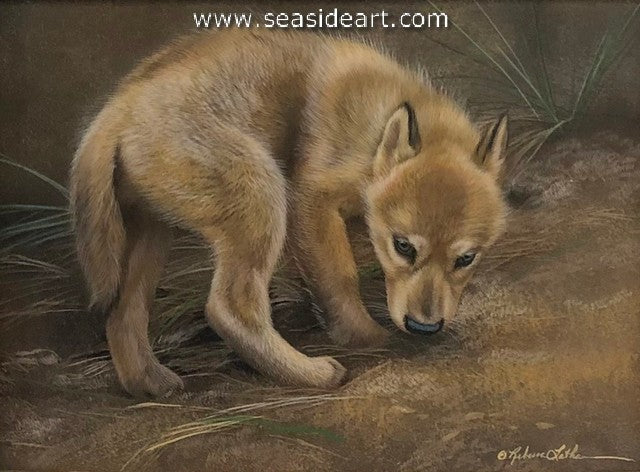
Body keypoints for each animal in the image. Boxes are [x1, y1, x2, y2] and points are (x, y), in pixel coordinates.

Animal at [70, 30, 509, 397]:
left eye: (466, 259)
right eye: (403, 247)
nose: (424, 327)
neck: (373, 128)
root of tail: (116, 110)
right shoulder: (309, 200)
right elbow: (340, 278)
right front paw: (364, 337)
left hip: (151, 234)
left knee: (123, 314)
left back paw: (151, 383)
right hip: (260, 195)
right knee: (229, 308)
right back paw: (312, 373)